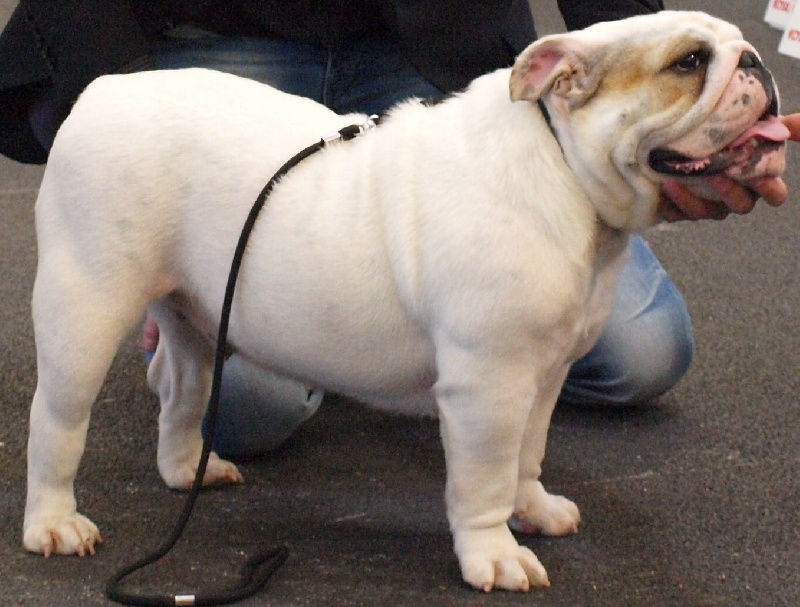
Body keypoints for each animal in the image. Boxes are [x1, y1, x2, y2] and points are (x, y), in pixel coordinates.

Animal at [23, 11, 787, 592]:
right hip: (84, 307)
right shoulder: (488, 386)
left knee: (181, 389)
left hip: (197, 313)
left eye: (737, 46)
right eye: (689, 62)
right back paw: (55, 522)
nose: (757, 62)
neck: (563, 168)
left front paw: (534, 508)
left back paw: (191, 469)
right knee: (57, 420)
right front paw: (494, 555)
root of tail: (100, 94)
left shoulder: (541, 376)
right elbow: (485, 478)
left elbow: (528, 454)